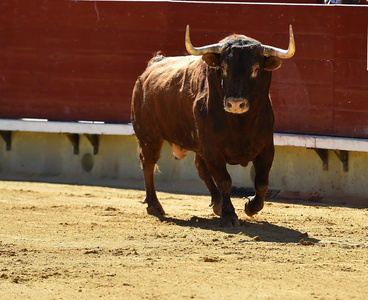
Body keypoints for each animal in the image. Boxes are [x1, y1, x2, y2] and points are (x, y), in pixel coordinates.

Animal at [131, 25, 294, 226]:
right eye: (223, 67)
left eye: (256, 68)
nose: (235, 103)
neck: (241, 123)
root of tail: (151, 66)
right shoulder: (212, 148)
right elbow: (225, 181)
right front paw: (229, 214)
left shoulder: (266, 148)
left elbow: (262, 183)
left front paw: (250, 206)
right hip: (148, 135)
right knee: (148, 163)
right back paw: (154, 205)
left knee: (200, 168)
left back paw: (216, 203)